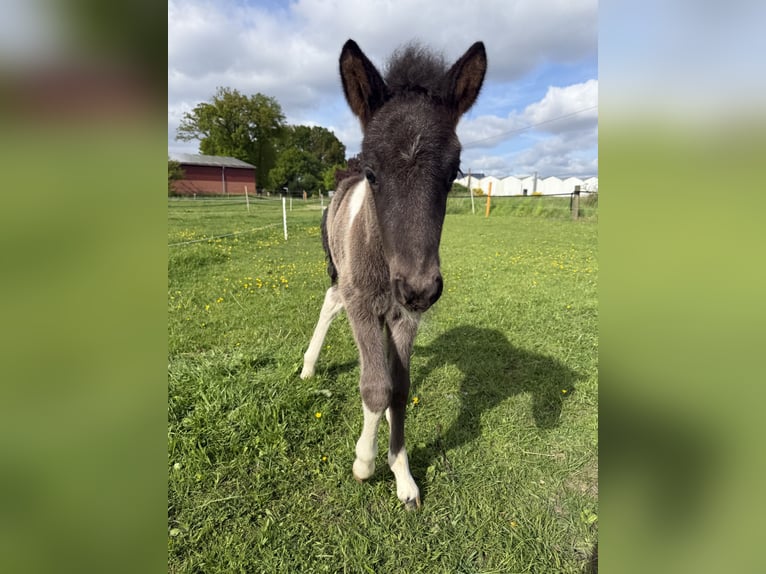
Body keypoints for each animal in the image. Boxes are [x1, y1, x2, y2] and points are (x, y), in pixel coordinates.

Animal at [300, 39, 487, 509]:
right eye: (372, 172)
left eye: (454, 172)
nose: (420, 288)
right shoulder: (363, 307)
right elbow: (376, 387)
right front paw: (364, 464)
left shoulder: (405, 316)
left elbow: (398, 389)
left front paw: (402, 475)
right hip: (342, 277)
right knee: (331, 302)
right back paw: (308, 366)